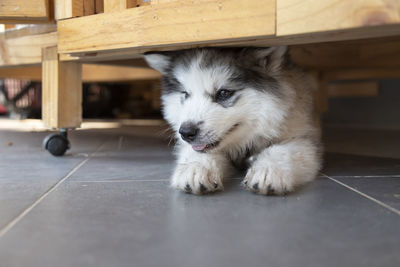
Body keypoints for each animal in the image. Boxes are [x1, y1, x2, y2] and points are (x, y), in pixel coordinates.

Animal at [145, 47, 322, 196]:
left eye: (223, 93)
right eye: (185, 94)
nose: (186, 133)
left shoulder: (304, 138)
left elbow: (285, 149)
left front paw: (268, 170)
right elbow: (197, 152)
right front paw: (196, 169)